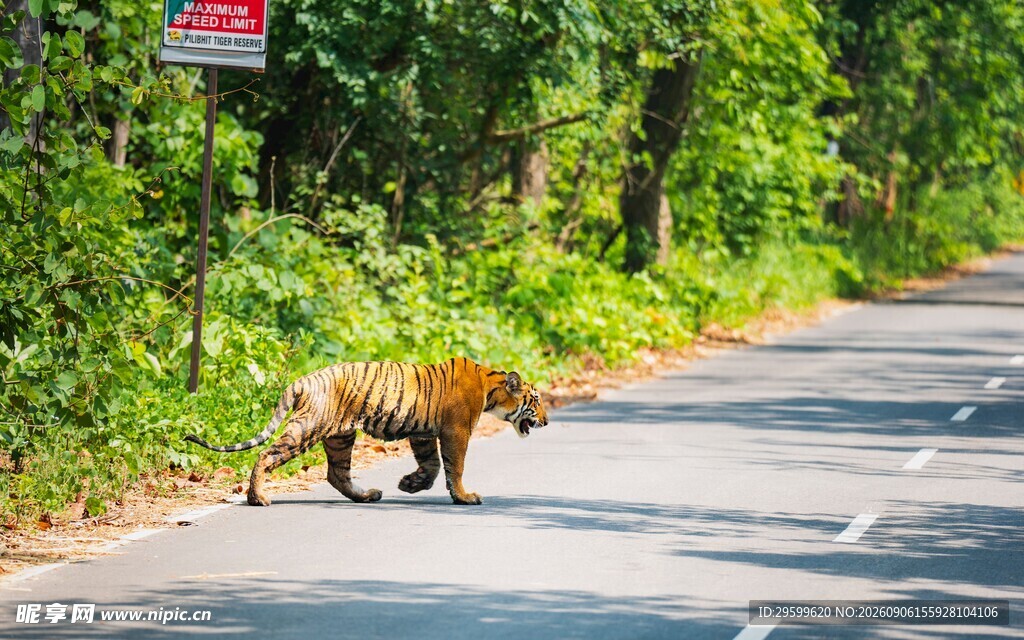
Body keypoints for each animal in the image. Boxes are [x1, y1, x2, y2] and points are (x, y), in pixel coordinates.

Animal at [184, 357, 548, 507]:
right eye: (536, 400)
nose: (547, 421)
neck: (490, 387)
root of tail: (302, 380)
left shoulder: (423, 433)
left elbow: (432, 466)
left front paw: (410, 484)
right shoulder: (456, 431)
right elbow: (454, 467)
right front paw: (464, 497)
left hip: (340, 436)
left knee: (336, 474)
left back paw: (368, 495)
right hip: (308, 428)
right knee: (266, 454)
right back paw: (257, 498)